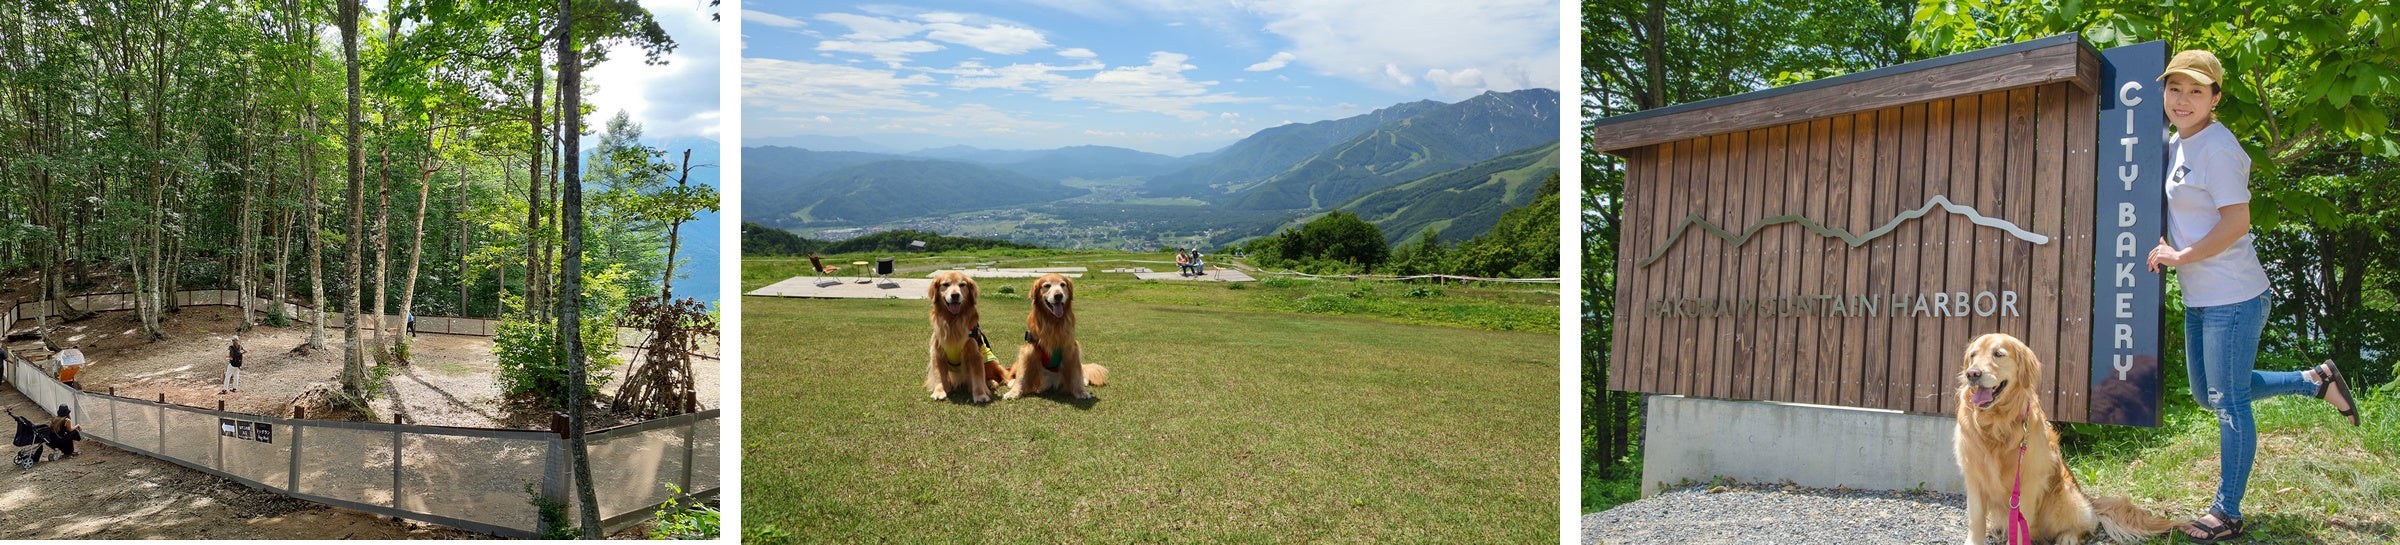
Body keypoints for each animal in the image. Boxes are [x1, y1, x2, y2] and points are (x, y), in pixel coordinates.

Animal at [916, 271, 993, 403]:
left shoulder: (975, 354)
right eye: (945, 284)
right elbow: (939, 375)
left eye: (962, 285)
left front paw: (980, 395)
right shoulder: (937, 353)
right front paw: (939, 392)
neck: (953, 321)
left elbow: (978, 377)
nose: (955, 295)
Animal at [1958, 331, 2188, 545]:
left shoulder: (2029, 480)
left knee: (2084, 525)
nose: (1972, 373)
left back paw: (2067, 537)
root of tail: (2089, 499)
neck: (1996, 424)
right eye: (1973, 355)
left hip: (2064, 497)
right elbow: (1976, 520)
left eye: (1998, 354)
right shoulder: (1974, 477)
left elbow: (2021, 525)